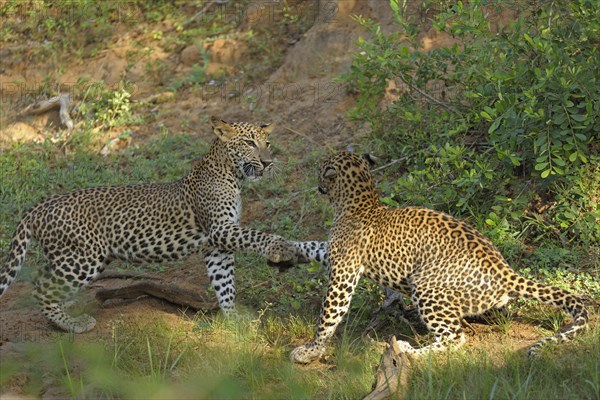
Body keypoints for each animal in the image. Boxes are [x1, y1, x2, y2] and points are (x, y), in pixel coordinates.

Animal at [0, 116, 312, 334]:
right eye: (248, 143)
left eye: (267, 143)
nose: (268, 162)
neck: (231, 174)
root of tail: (38, 206)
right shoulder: (221, 229)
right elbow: (255, 236)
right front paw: (280, 247)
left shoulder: (217, 245)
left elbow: (224, 283)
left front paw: (233, 318)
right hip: (83, 258)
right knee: (40, 288)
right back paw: (72, 324)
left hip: (70, 256)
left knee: (45, 279)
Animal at [290, 152, 592, 364]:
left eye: (321, 171)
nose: (316, 184)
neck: (360, 201)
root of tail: (504, 269)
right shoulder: (333, 252)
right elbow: (313, 246)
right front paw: (285, 248)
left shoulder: (344, 273)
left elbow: (329, 315)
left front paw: (310, 350)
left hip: (426, 287)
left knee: (454, 338)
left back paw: (410, 351)